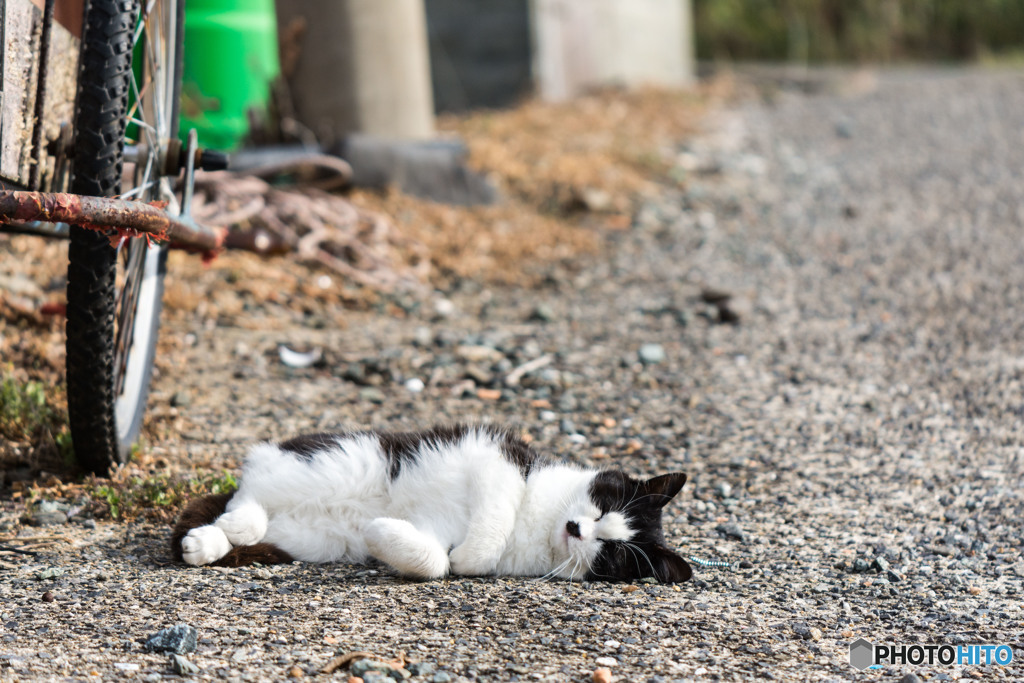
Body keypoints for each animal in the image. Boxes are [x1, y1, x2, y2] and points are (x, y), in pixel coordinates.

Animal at [172, 428, 692, 581]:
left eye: (613, 553)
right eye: (603, 506)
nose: (580, 530)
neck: (539, 523)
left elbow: (438, 561)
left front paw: (382, 533)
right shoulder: (499, 460)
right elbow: (493, 520)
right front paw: (470, 553)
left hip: (310, 540)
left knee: (246, 517)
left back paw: (208, 542)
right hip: (335, 462)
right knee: (248, 491)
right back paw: (235, 524)